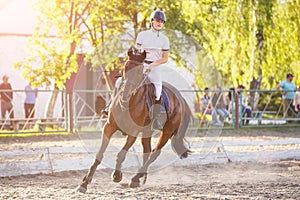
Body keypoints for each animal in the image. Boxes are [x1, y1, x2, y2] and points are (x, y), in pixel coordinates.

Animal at [77, 46, 192, 193]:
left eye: (139, 71)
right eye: (125, 67)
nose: (125, 94)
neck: (127, 103)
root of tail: (180, 98)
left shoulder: (133, 132)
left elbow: (121, 154)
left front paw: (117, 176)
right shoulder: (109, 127)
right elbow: (99, 154)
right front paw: (84, 183)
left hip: (167, 131)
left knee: (154, 153)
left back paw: (136, 178)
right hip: (147, 131)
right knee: (147, 151)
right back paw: (141, 178)